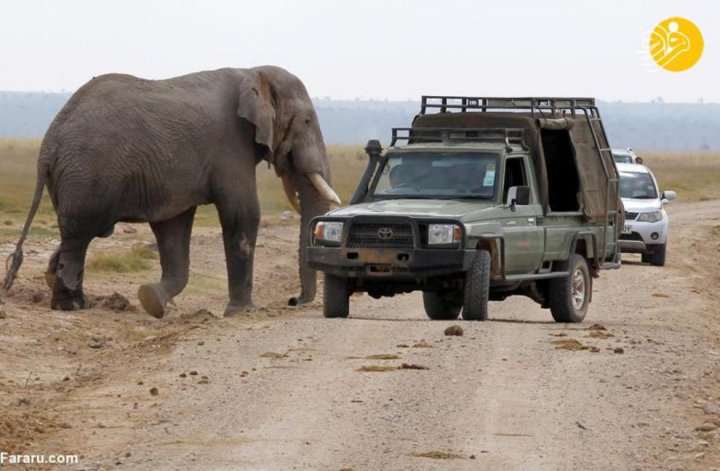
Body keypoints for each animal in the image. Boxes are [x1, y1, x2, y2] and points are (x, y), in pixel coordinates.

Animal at [2, 65, 340, 318]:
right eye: (307, 120)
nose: (293, 300)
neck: (253, 72)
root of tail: (48, 142)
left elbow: (173, 227)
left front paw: (151, 300)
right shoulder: (231, 144)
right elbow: (242, 213)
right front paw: (241, 312)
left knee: (76, 233)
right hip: (86, 173)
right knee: (79, 235)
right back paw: (70, 306)